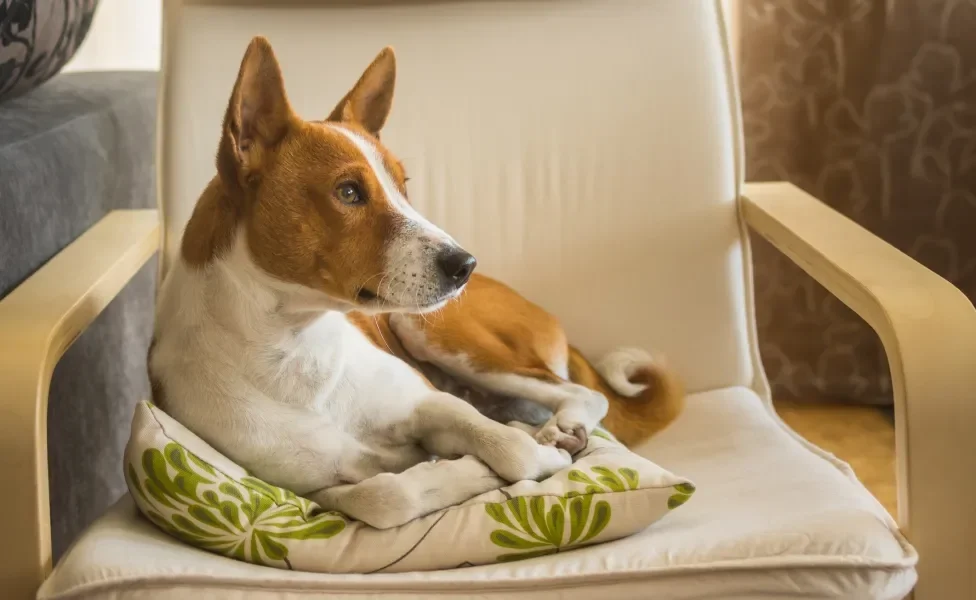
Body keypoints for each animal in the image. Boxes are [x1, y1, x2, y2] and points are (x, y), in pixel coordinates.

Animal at [151, 36, 688, 528]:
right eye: (349, 192)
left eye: (403, 185)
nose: (465, 264)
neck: (296, 352)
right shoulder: (317, 489)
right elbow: (385, 496)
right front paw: (468, 472)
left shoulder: (431, 403)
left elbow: (508, 447)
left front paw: (532, 454)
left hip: (430, 331)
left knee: (581, 393)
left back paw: (563, 426)